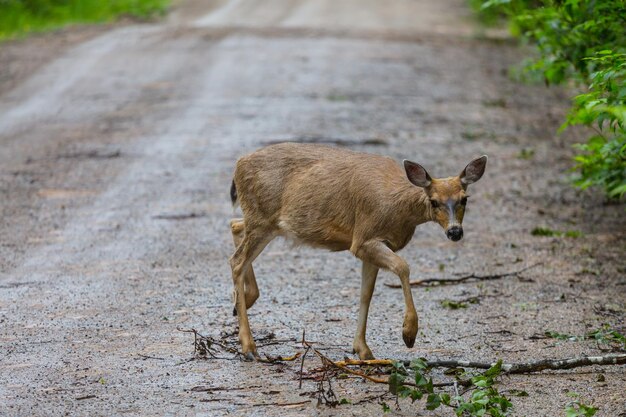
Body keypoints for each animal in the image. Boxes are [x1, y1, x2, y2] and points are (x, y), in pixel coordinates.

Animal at [227, 141, 486, 360]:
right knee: (236, 260)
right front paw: (408, 334)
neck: (399, 207)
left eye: (464, 199)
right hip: (262, 218)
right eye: (433, 201)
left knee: (235, 226)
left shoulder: (373, 245)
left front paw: (363, 349)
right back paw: (249, 347)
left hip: (262, 222)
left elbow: (366, 294)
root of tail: (238, 163)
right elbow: (403, 266)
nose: (455, 232)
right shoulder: (363, 238)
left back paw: (242, 303)